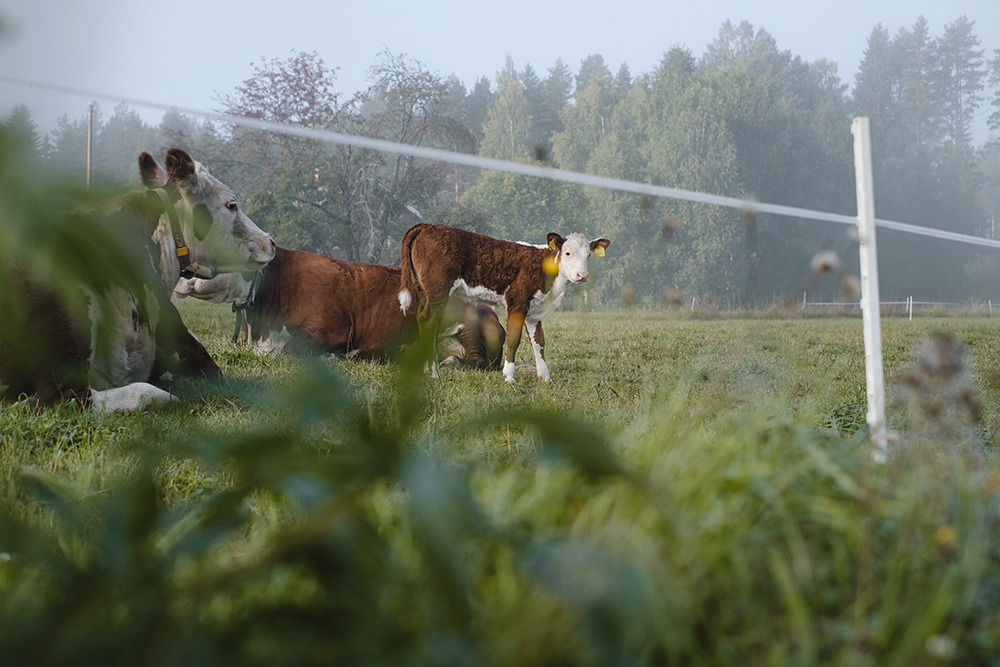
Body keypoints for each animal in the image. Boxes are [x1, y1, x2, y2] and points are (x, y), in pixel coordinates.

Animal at [398, 223, 608, 384]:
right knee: (430, 322)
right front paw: (509, 377)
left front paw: (545, 378)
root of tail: (427, 226)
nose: (582, 275)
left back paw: (425, 370)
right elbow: (514, 339)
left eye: (588, 255)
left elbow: (539, 342)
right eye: (567, 253)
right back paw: (434, 373)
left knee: (422, 317)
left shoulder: (534, 311)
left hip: (426, 291)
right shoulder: (517, 303)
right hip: (439, 290)